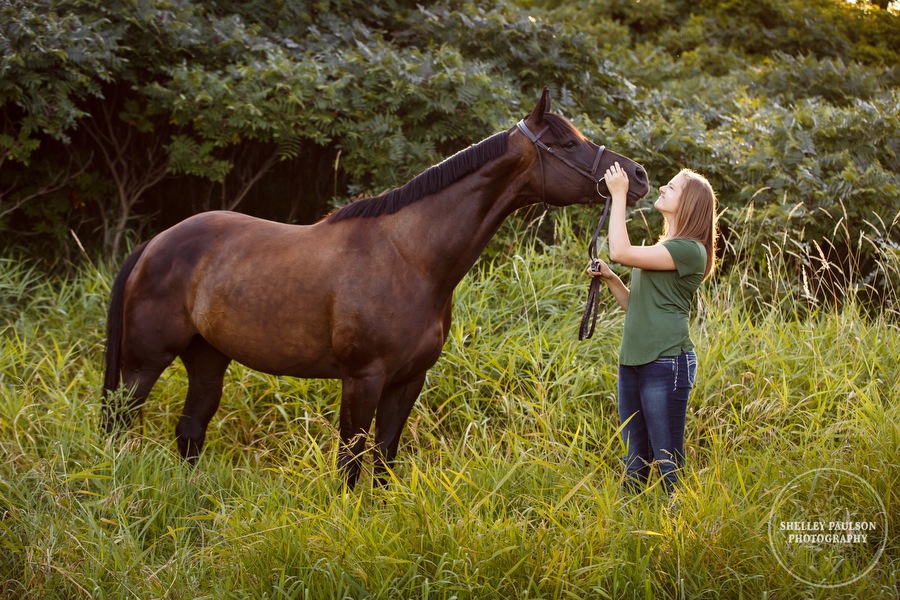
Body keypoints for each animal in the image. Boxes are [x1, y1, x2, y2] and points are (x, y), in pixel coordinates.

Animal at [103, 86, 648, 486]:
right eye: (567, 143)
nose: (638, 175)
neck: (411, 258)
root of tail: (155, 244)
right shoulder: (362, 378)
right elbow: (350, 460)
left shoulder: (409, 380)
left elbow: (384, 458)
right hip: (143, 364)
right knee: (118, 422)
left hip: (207, 357)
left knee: (190, 429)